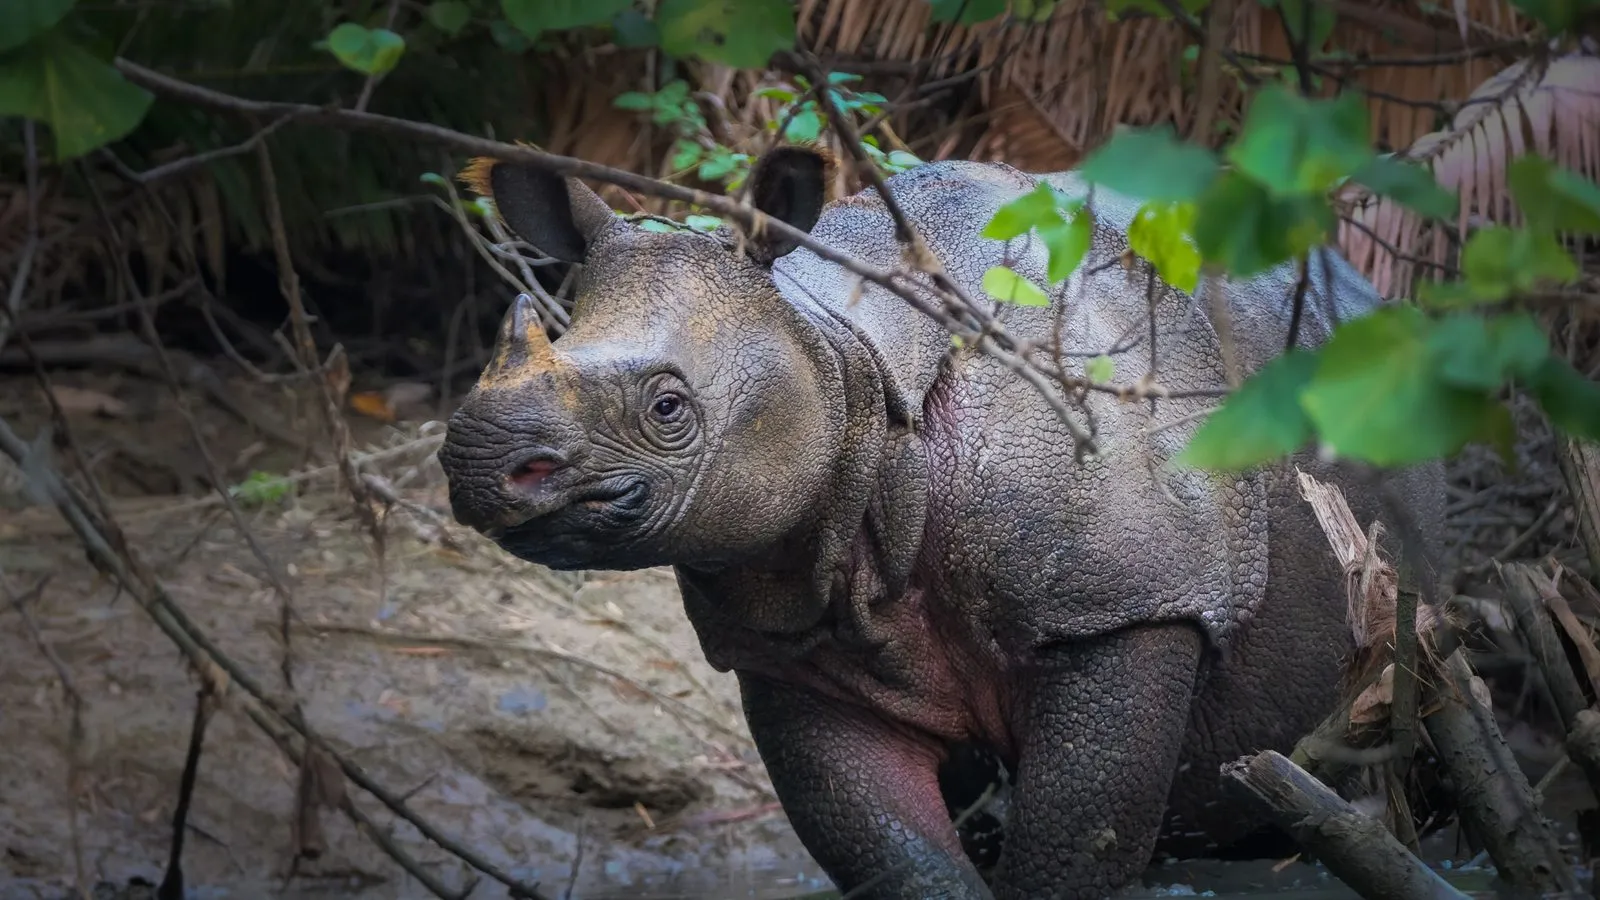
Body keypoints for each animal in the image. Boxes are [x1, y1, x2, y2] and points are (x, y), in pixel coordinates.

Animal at [436, 144, 1446, 899]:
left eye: (668, 409)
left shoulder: (1129, 601)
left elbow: (1074, 850)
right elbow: (896, 855)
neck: (840, 362)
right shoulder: (796, 637)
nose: (479, 466)